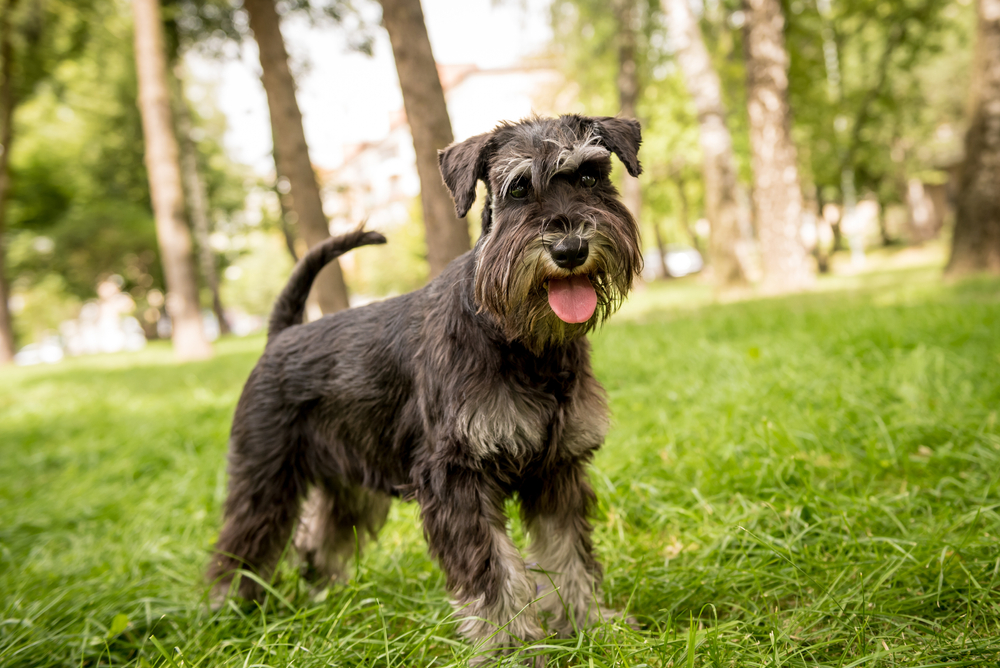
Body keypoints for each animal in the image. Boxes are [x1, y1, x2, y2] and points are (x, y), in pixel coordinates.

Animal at [210, 115, 644, 664]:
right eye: (519, 188)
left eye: (590, 175)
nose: (570, 249)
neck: (524, 342)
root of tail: (280, 335)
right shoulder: (454, 476)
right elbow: (493, 573)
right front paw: (512, 648)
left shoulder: (557, 470)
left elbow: (567, 555)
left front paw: (591, 626)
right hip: (265, 477)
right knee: (242, 544)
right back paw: (229, 613)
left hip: (349, 485)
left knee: (318, 538)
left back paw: (323, 596)